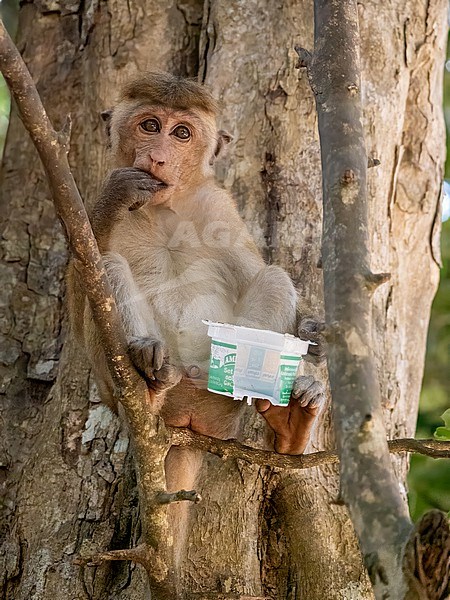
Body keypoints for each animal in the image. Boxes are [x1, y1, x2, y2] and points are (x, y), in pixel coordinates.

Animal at [66, 72, 324, 524]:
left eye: (181, 133)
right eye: (150, 126)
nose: (158, 158)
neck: (164, 208)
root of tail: (185, 426)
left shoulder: (219, 207)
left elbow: (255, 273)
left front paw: (312, 332)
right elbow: (78, 293)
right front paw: (118, 194)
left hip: (220, 401)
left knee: (273, 278)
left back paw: (288, 424)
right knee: (109, 269)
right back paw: (147, 376)